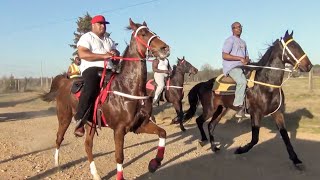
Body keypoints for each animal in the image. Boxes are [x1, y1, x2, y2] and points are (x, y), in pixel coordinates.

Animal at [42, 18, 170, 180]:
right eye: (143, 33)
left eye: (153, 31)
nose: (165, 48)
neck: (128, 87)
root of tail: (64, 82)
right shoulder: (119, 130)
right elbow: (119, 157)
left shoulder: (140, 125)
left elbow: (162, 133)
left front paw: (155, 162)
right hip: (64, 117)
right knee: (59, 138)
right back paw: (57, 164)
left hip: (90, 123)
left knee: (88, 145)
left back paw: (95, 174)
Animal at [185, 31, 312, 167]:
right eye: (293, 47)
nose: (309, 65)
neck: (266, 84)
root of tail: (203, 83)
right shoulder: (255, 113)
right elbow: (255, 139)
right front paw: (240, 150)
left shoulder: (277, 113)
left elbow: (285, 136)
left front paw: (295, 159)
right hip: (209, 109)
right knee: (199, 121)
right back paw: (202, 141)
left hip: (221, 109)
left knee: (210, 125)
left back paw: (214, 147)